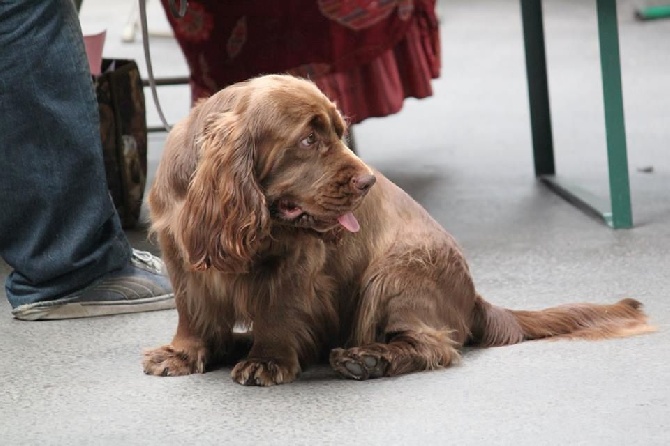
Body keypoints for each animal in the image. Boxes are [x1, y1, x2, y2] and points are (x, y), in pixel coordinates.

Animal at [143, 75, 656, 386]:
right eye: (308, 139)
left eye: (340, 131)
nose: (368, 182)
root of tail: (473, 298)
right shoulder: (179, 256)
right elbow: (192, 314)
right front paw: (183, 353)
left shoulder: (298, 265)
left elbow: (278, 312)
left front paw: (268, 358)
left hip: (395, 273)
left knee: (434, 344)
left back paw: (368, 358)